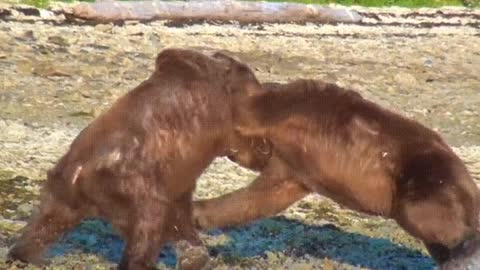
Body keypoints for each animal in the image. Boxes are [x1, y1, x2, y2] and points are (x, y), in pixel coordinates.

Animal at [6, 48, 270, 270]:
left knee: (44, 222)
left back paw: (24, 256)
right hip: (131, 185)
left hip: (64, 187)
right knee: (148, 227)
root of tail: (81, 171)